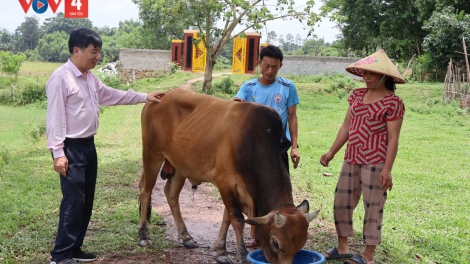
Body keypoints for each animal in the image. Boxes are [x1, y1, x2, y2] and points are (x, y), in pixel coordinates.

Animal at [138, 88, 318, 264]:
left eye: (300, 246)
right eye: (275, 243)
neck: (254, 142)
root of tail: (161, 96)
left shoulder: (234, 188)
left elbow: (227, 218)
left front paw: (221, 251)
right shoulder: (225, 182)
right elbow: (237, 220)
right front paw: (242, 255)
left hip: (179, 165)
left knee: (171, 194)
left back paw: (186, 237)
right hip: (152, 154)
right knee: (145, 190)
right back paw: (143, 236)